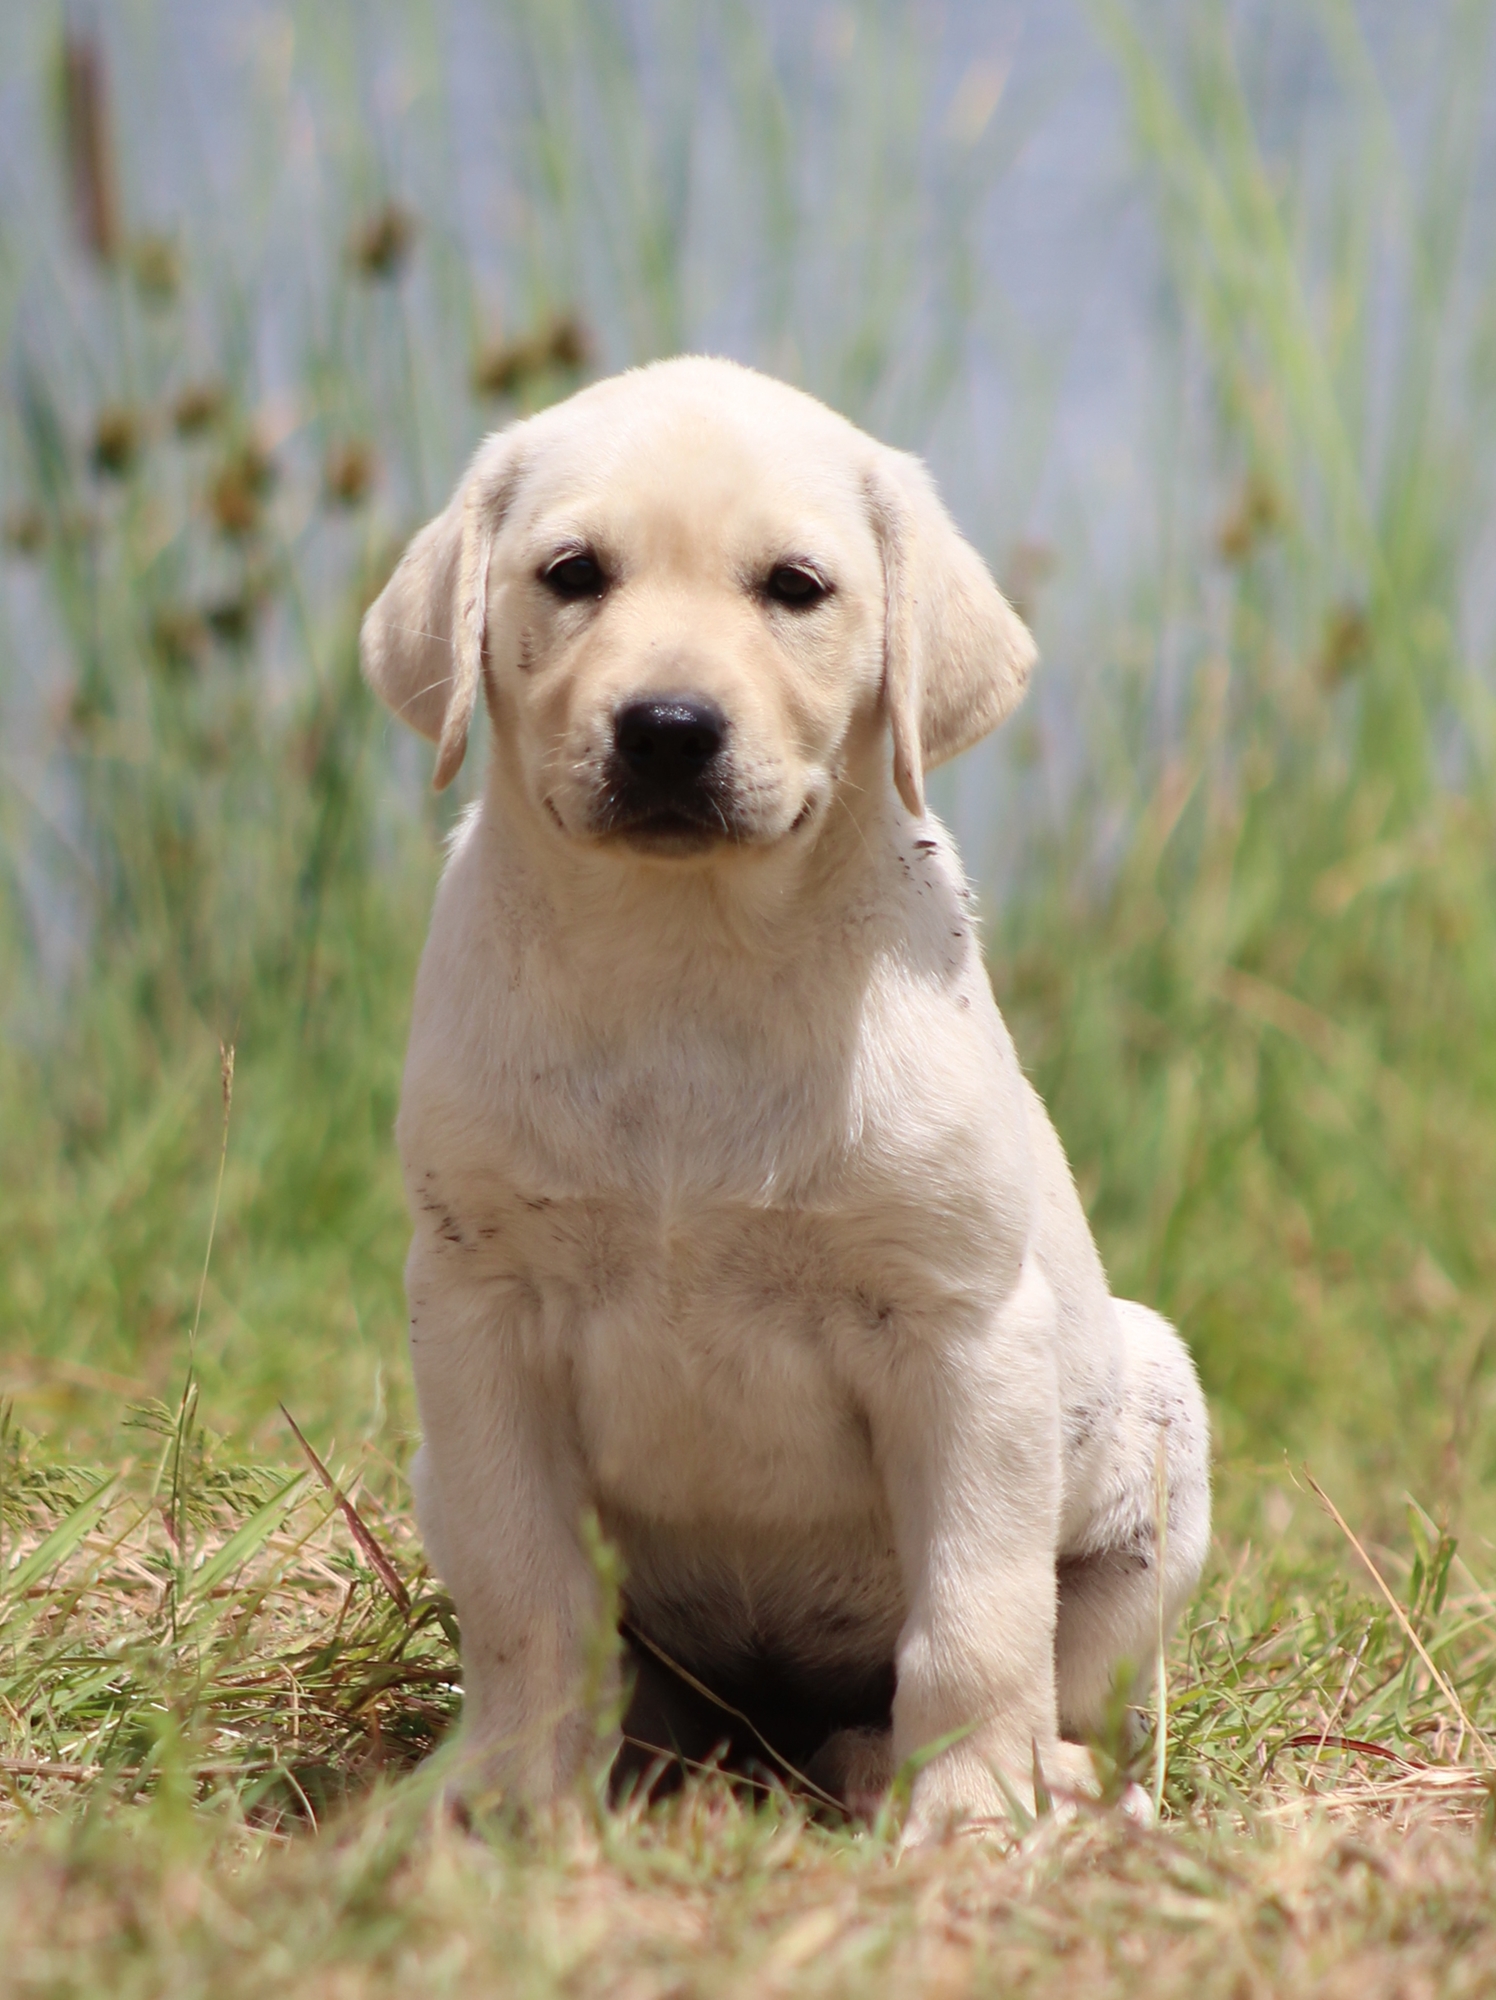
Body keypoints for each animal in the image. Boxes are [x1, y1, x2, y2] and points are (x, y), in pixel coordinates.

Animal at [366, 352, 1216, 1832]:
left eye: (795, 587)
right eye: (571, 573)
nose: (666, 729)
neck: (687, 958)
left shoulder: (960, 1335)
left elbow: (976, 1613)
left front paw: (970, 1813)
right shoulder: (479, 1312)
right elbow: (527, 1595)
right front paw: (513, 1797)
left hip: (1155, 1438)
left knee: (1073, 1676)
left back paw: (1003, 1771)